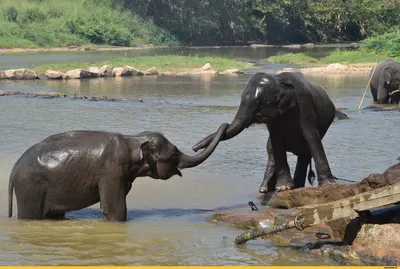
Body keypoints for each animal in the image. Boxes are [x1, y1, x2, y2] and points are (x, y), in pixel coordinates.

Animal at [7, 123, 228, 220]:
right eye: (174, 154)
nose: (195, 147)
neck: (133, 139)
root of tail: (14, 168)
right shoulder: (111, 171)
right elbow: (116, 209)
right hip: (30, 188)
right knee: (31, 216)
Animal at [192, 71, 340, 192]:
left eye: (258, 103)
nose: (194, 148)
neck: (279, 82)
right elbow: (276, 141)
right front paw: (283, 188)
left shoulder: (305, 103)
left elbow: (310, 135)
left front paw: (328, 185)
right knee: (271, 149)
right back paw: (265, 189)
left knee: (304, 151)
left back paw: (297, 186)